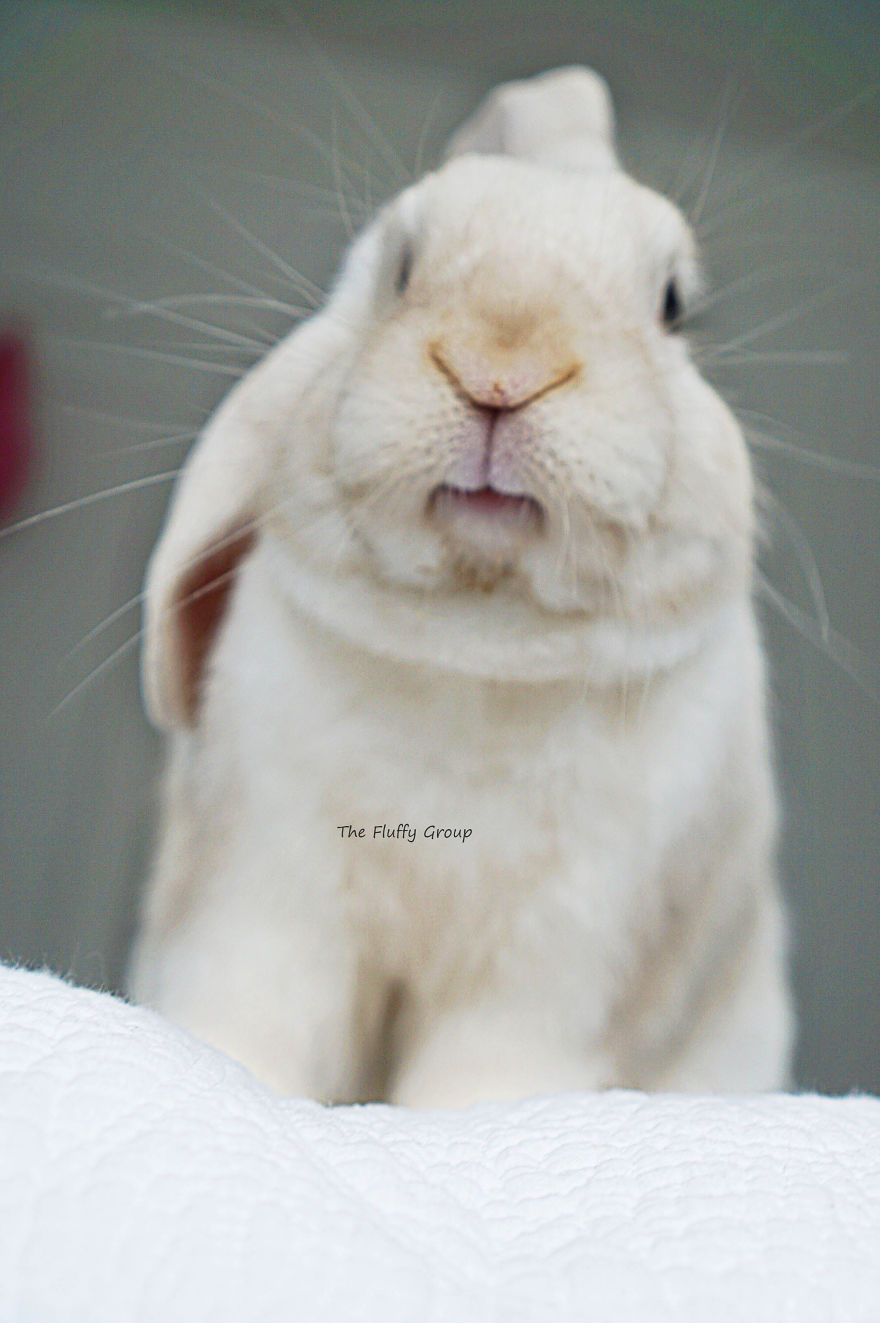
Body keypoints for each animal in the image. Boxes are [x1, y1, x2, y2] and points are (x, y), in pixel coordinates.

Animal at [128, 66, 794, 1107]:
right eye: (403, 267)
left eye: (674, 303)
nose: (501, 371)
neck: (473, 651)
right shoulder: (266, 901)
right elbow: (249, 1021)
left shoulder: (561, 973)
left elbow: (485, 1088)